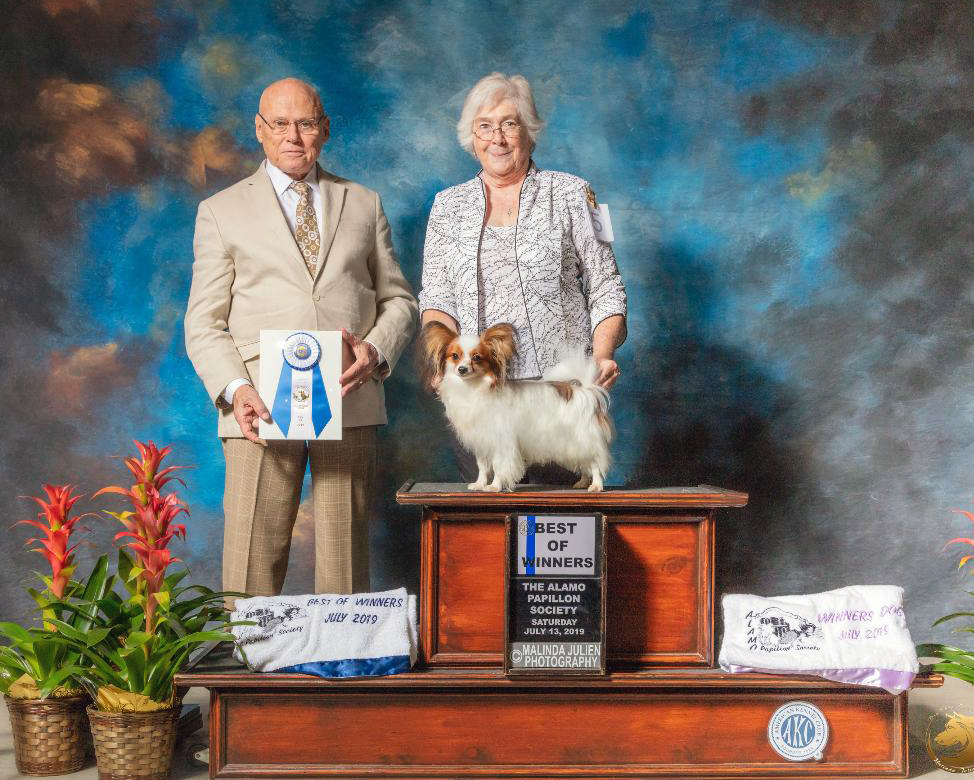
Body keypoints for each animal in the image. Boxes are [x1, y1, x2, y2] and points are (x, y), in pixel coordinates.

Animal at [421, 322, 612, 492]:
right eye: (455, 356)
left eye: (477, 358)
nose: (462, 369)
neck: (474, 388)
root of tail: (584, 390)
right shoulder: (482, 442)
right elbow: (483, 466)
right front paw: (479, 484)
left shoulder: (501, 442)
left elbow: (498, 466)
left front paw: (494, 487)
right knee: (585, 462)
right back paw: (583, 482)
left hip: (582, 438)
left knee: (594, 462)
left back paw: (596, 486)